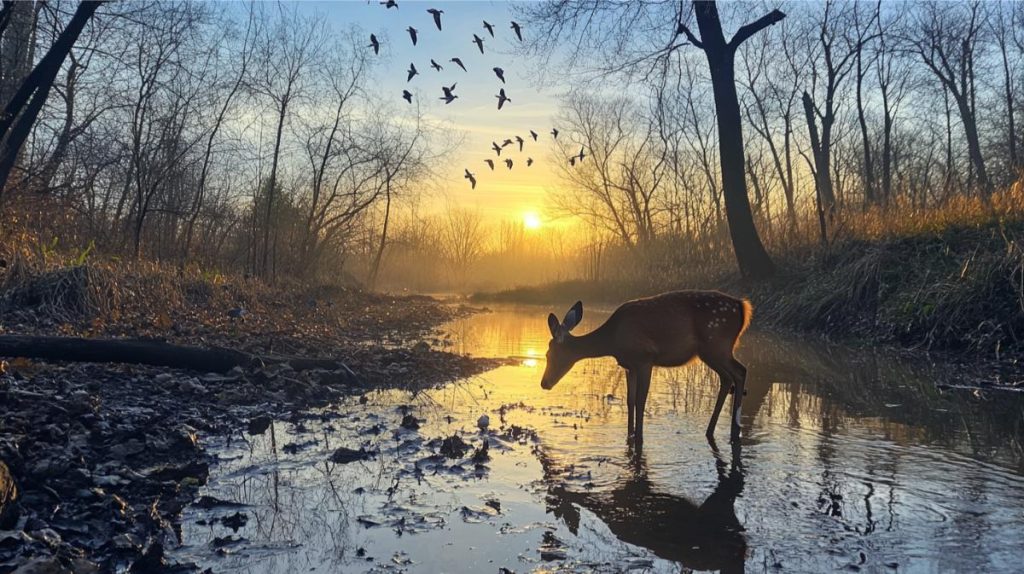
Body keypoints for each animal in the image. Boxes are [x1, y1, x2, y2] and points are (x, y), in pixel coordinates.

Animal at [544, 290, 753, 444]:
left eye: (549, 354)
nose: (544, 383)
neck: (613, 340)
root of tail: (742, 306)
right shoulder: (629, 366)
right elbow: (630, 401)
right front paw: (629, 434)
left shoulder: (645, 359)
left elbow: (640, 400)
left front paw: (639, 437)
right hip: (712, 352)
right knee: (727, 377)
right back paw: (713, 431)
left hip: (716, 346)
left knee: (740, 371)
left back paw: (735, 431)